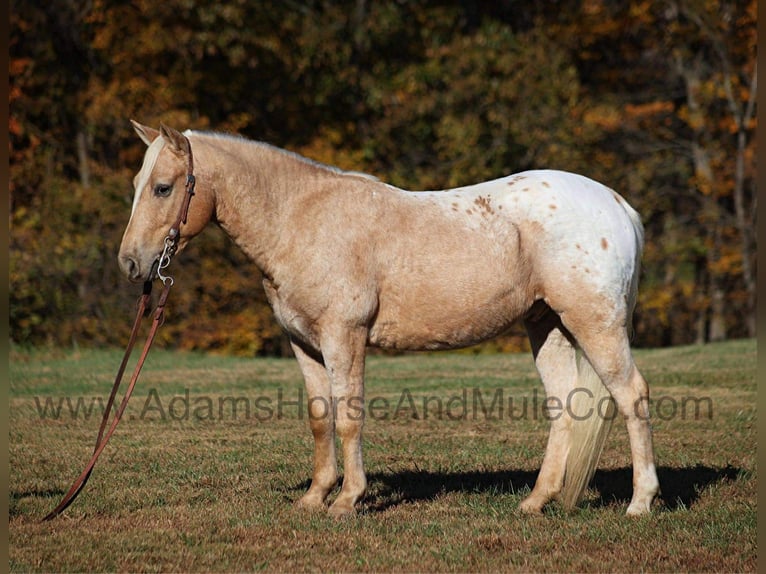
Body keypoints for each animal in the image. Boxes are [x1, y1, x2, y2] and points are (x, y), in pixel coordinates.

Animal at [119, 121, 659, 517]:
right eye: (137, 186)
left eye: (163, 188)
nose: (130, 263)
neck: (301, 221)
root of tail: (618, 205)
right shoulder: (304, 344)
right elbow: (321, 418)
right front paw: (314, 498)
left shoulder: (345, 337)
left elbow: (349, 417)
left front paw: (346, 501)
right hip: (546, 325)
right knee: (563, 404)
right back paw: (535, 502)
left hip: (594, 324)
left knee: (631, 395)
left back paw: (640, 503)